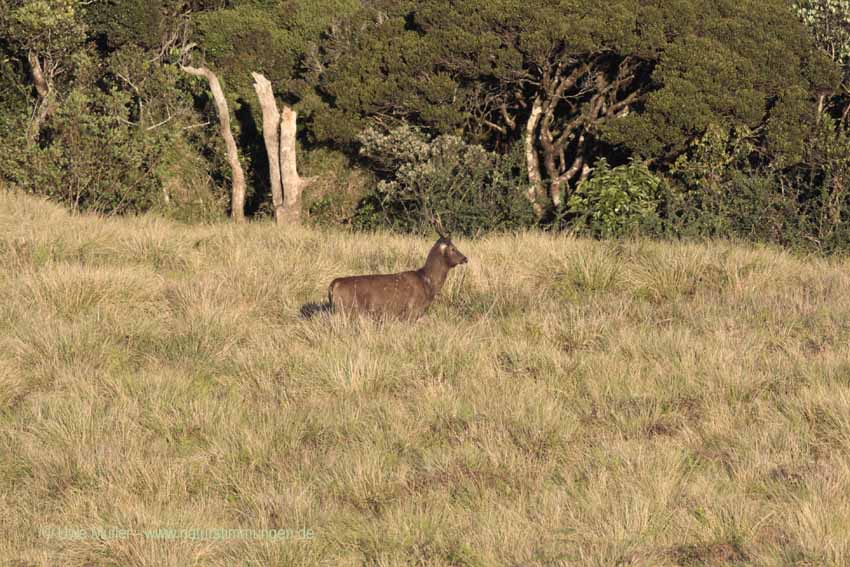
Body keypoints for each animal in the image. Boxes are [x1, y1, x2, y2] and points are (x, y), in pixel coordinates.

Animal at [326, 221, 470, 320]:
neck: (428, 283)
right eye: (453, 248)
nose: (465, 258)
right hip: (346, 310)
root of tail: (334, 284)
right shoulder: (412, 310)